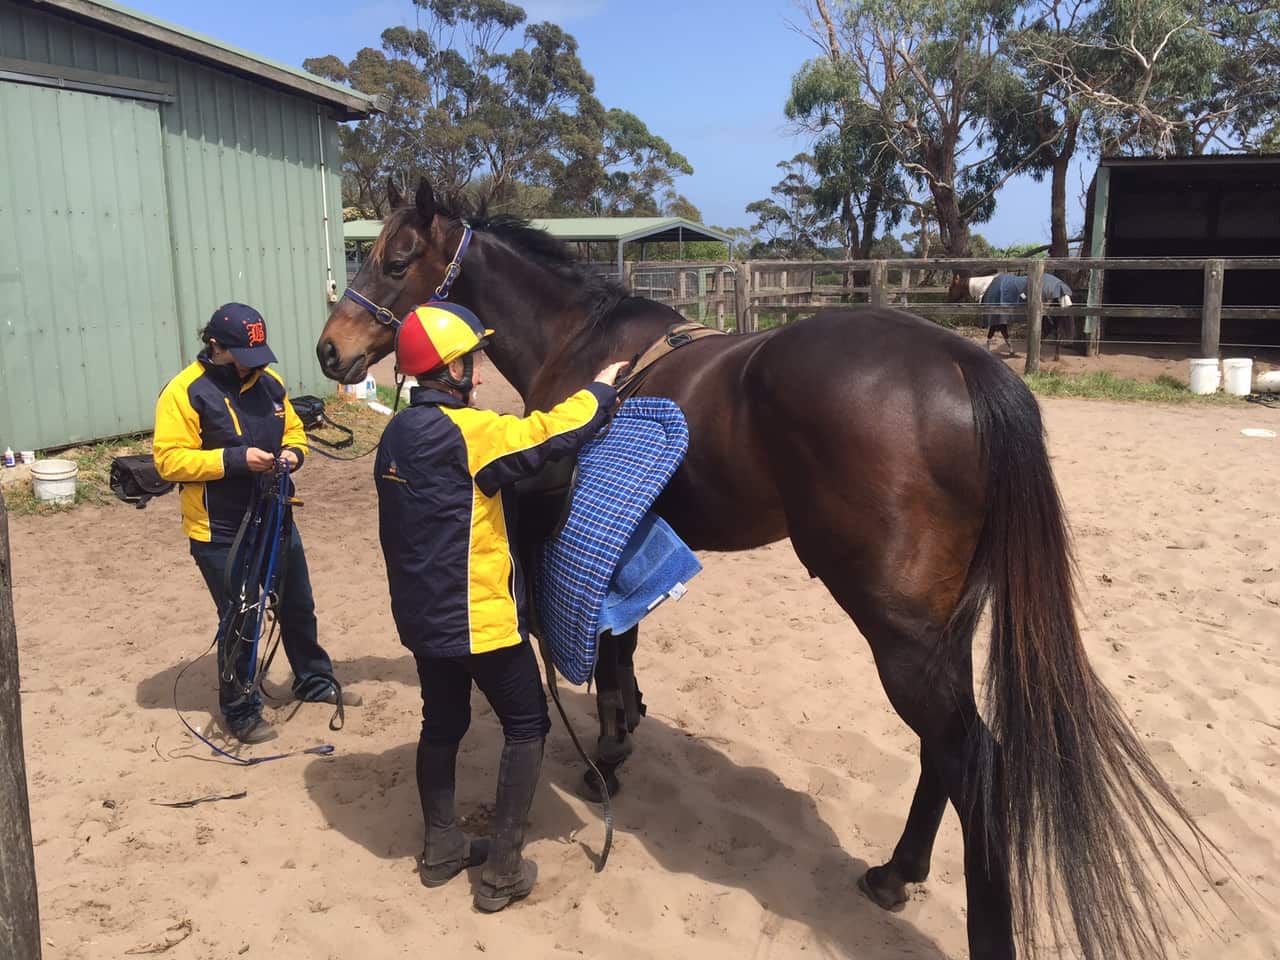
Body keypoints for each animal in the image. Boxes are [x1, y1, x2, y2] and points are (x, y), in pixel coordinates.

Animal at [317, 180, 1219, 959]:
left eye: (395, 261)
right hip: (940, 629)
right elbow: (625, 641)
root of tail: (966, 366)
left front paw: (608, 748)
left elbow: (609, 645)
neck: (587, 342)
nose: (332, 350)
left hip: (900, 634)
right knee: (944, 751)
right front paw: (626, 725)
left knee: (973, 761)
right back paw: (895, 874)